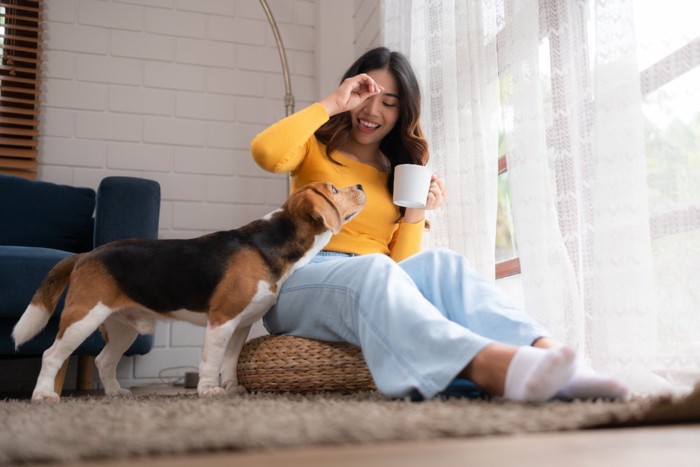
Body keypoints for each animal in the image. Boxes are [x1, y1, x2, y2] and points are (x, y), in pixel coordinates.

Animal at [12, 182, 366, 402]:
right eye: (334, 189)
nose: (362, 187)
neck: (272, 242)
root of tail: (85, 255)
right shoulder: (222, 320)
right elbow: (212, 360)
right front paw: (209, 390)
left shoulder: (242, 324)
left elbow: (230, 361)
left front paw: (232, 388)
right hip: (82, 317)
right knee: (51, 355)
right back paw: (43, 395)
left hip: (123, 327)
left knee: (103, 360)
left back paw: (114, 393)